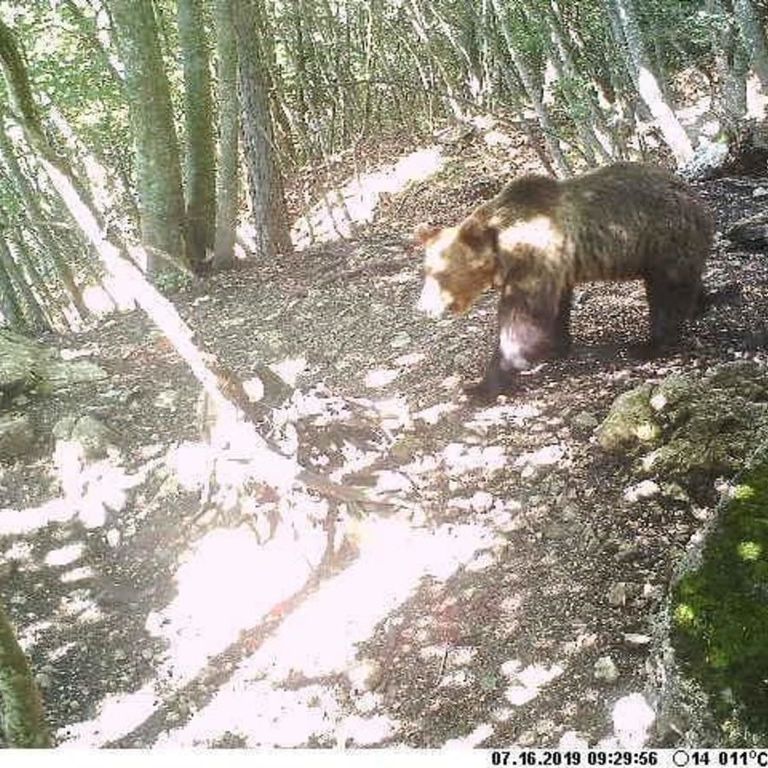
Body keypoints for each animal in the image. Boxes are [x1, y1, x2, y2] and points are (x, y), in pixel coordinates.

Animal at [415, 162, 714, 398]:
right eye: (426, 271)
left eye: (441, 273)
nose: (423, 307)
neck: (504, 250)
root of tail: (694, 196)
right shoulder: (556, 267)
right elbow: (555, 308)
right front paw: (555, 346)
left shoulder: (533, 259)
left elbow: (523, 318)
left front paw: (484, 384)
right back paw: (702, 304)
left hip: (661, 238)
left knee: (668, 292)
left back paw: (649, 344)